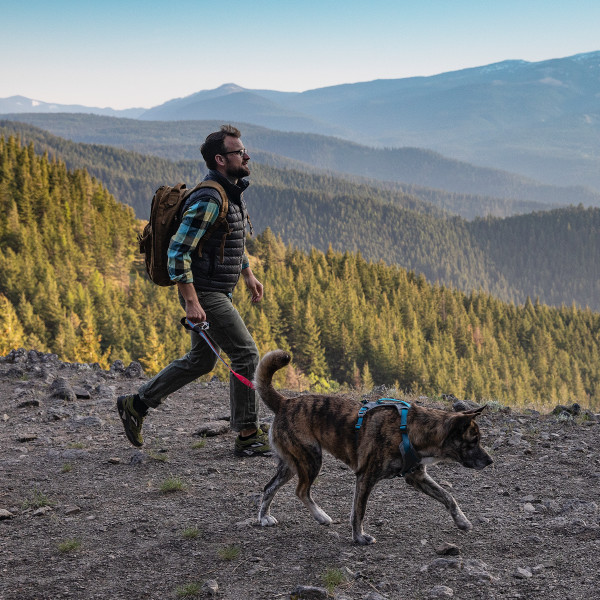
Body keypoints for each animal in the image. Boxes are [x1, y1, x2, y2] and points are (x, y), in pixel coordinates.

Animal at [253, 350, 492, 548]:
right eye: (473, 441)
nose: (490, 461)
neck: (413, 430)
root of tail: (285, 402)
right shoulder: (366, 477)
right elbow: (359, 511)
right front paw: (359, 537)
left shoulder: (417, 477)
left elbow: (448, 497)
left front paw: (462, 521)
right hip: (310, 459)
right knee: (301, 490)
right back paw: (320, 516)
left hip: (292, 463)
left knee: (269, 487)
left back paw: (264, 517)